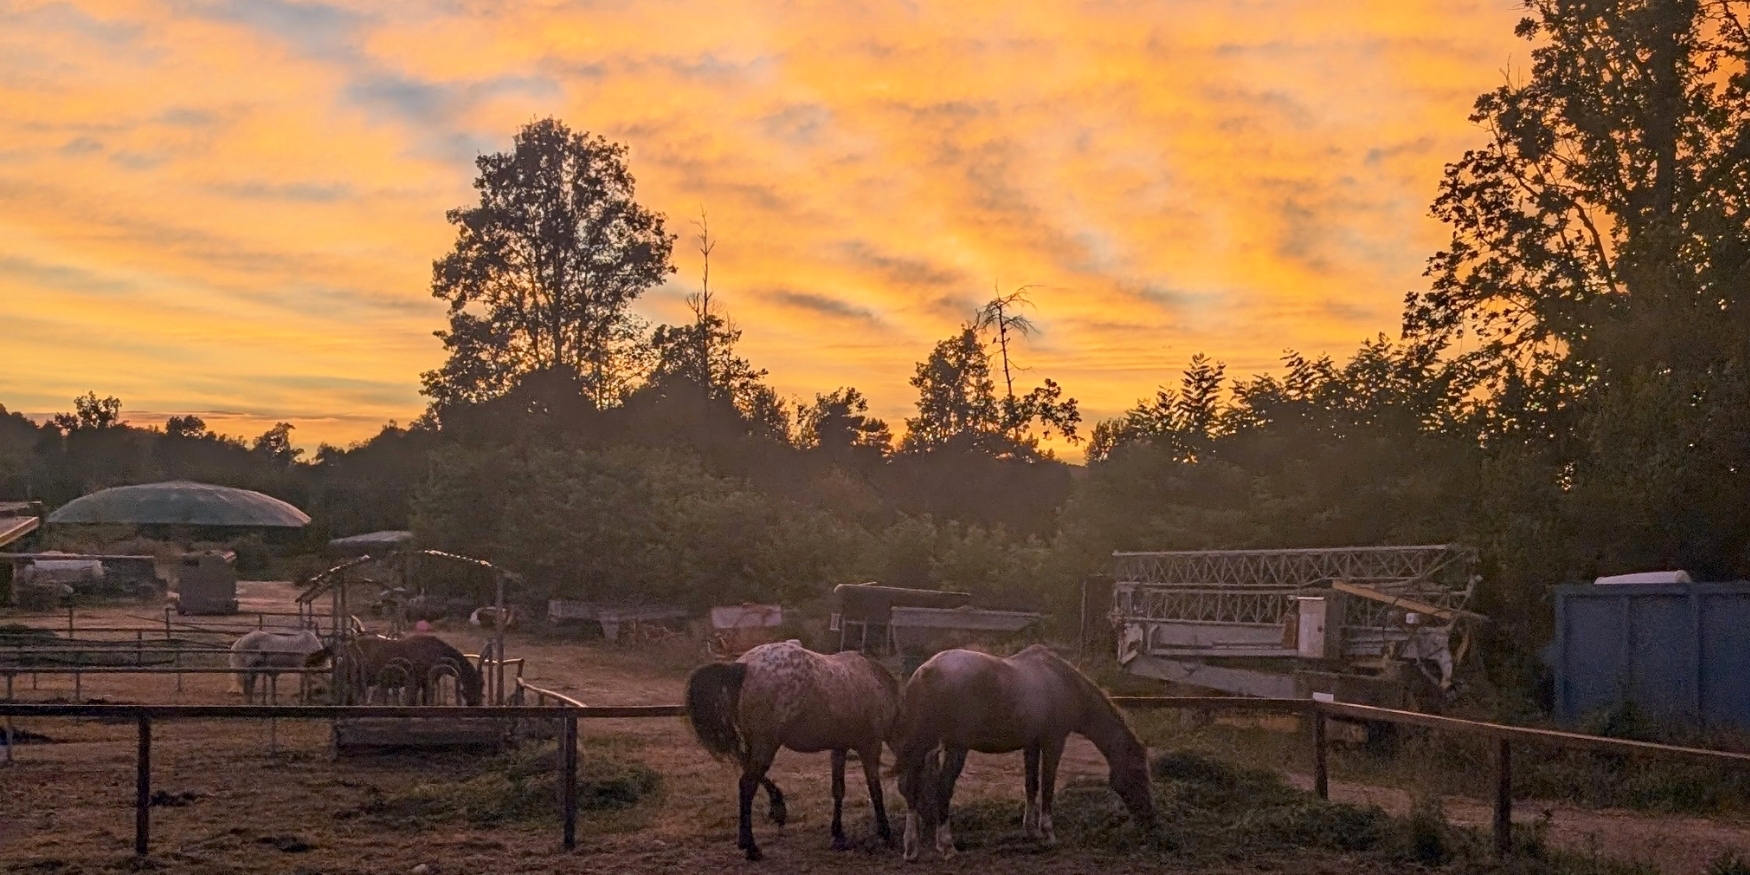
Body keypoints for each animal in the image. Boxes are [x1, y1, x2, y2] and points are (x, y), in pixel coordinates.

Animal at [682, 640, 903, 857]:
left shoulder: (839, 748)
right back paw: (751, 846)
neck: (876, 681)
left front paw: (838, 834)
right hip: (766, 745)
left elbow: (839, 790)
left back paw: (775, 810)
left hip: (755, 744)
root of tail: (744, 666)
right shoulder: (870, 746)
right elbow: (875, 790)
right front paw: (885, 832)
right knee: (747, 785)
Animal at [896, 644, 1155, 861]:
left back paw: (911, 848)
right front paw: (1048, 834)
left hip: (924, 746)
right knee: (943, 788)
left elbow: (1032, 785)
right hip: (957, 747)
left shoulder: (1031, 745)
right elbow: (1048, 785)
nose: (1149, 821)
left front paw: (1031, 831)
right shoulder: (1054, 742)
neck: (1062, 682)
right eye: (1140, 775)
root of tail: (926, 672)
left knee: (912, 788)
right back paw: (947, 846)